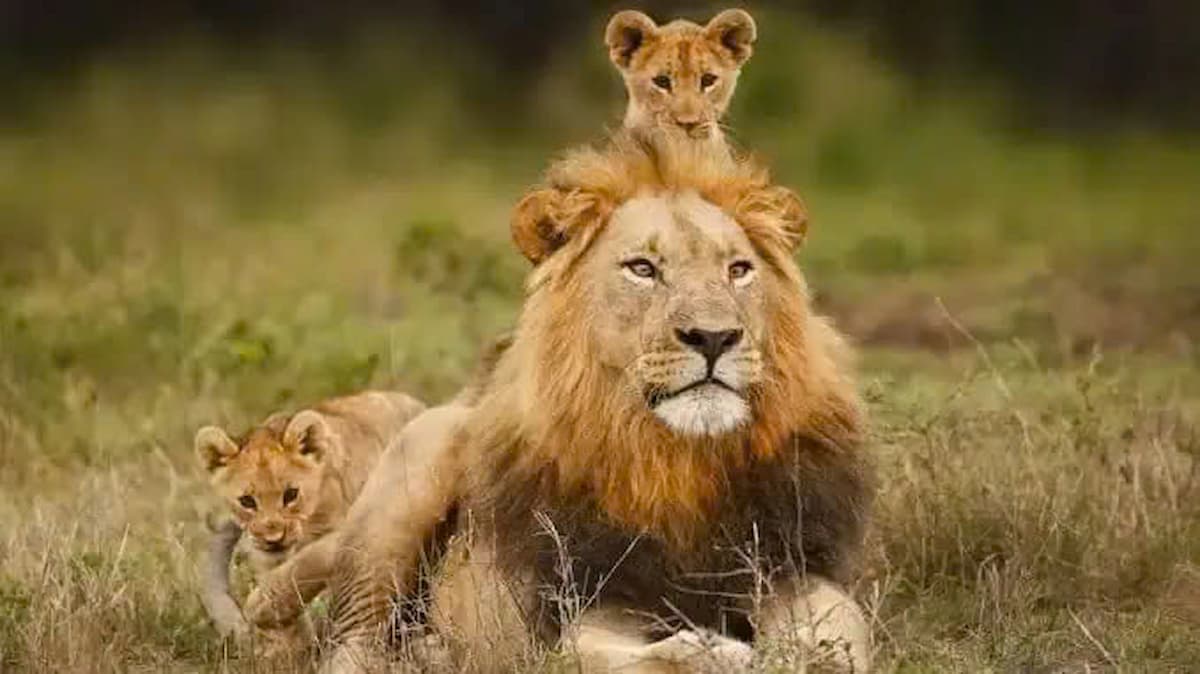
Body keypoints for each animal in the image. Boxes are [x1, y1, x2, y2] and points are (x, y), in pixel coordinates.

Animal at [307, 130, 873, 666]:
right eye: (642, 269)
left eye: (738, 270)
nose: (714, 337)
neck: (680, 463)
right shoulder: (592, 597)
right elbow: (607, 656)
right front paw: (716, 655)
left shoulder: (792, 567)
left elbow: (836, 639)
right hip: (414, 473)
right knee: (351, 638)